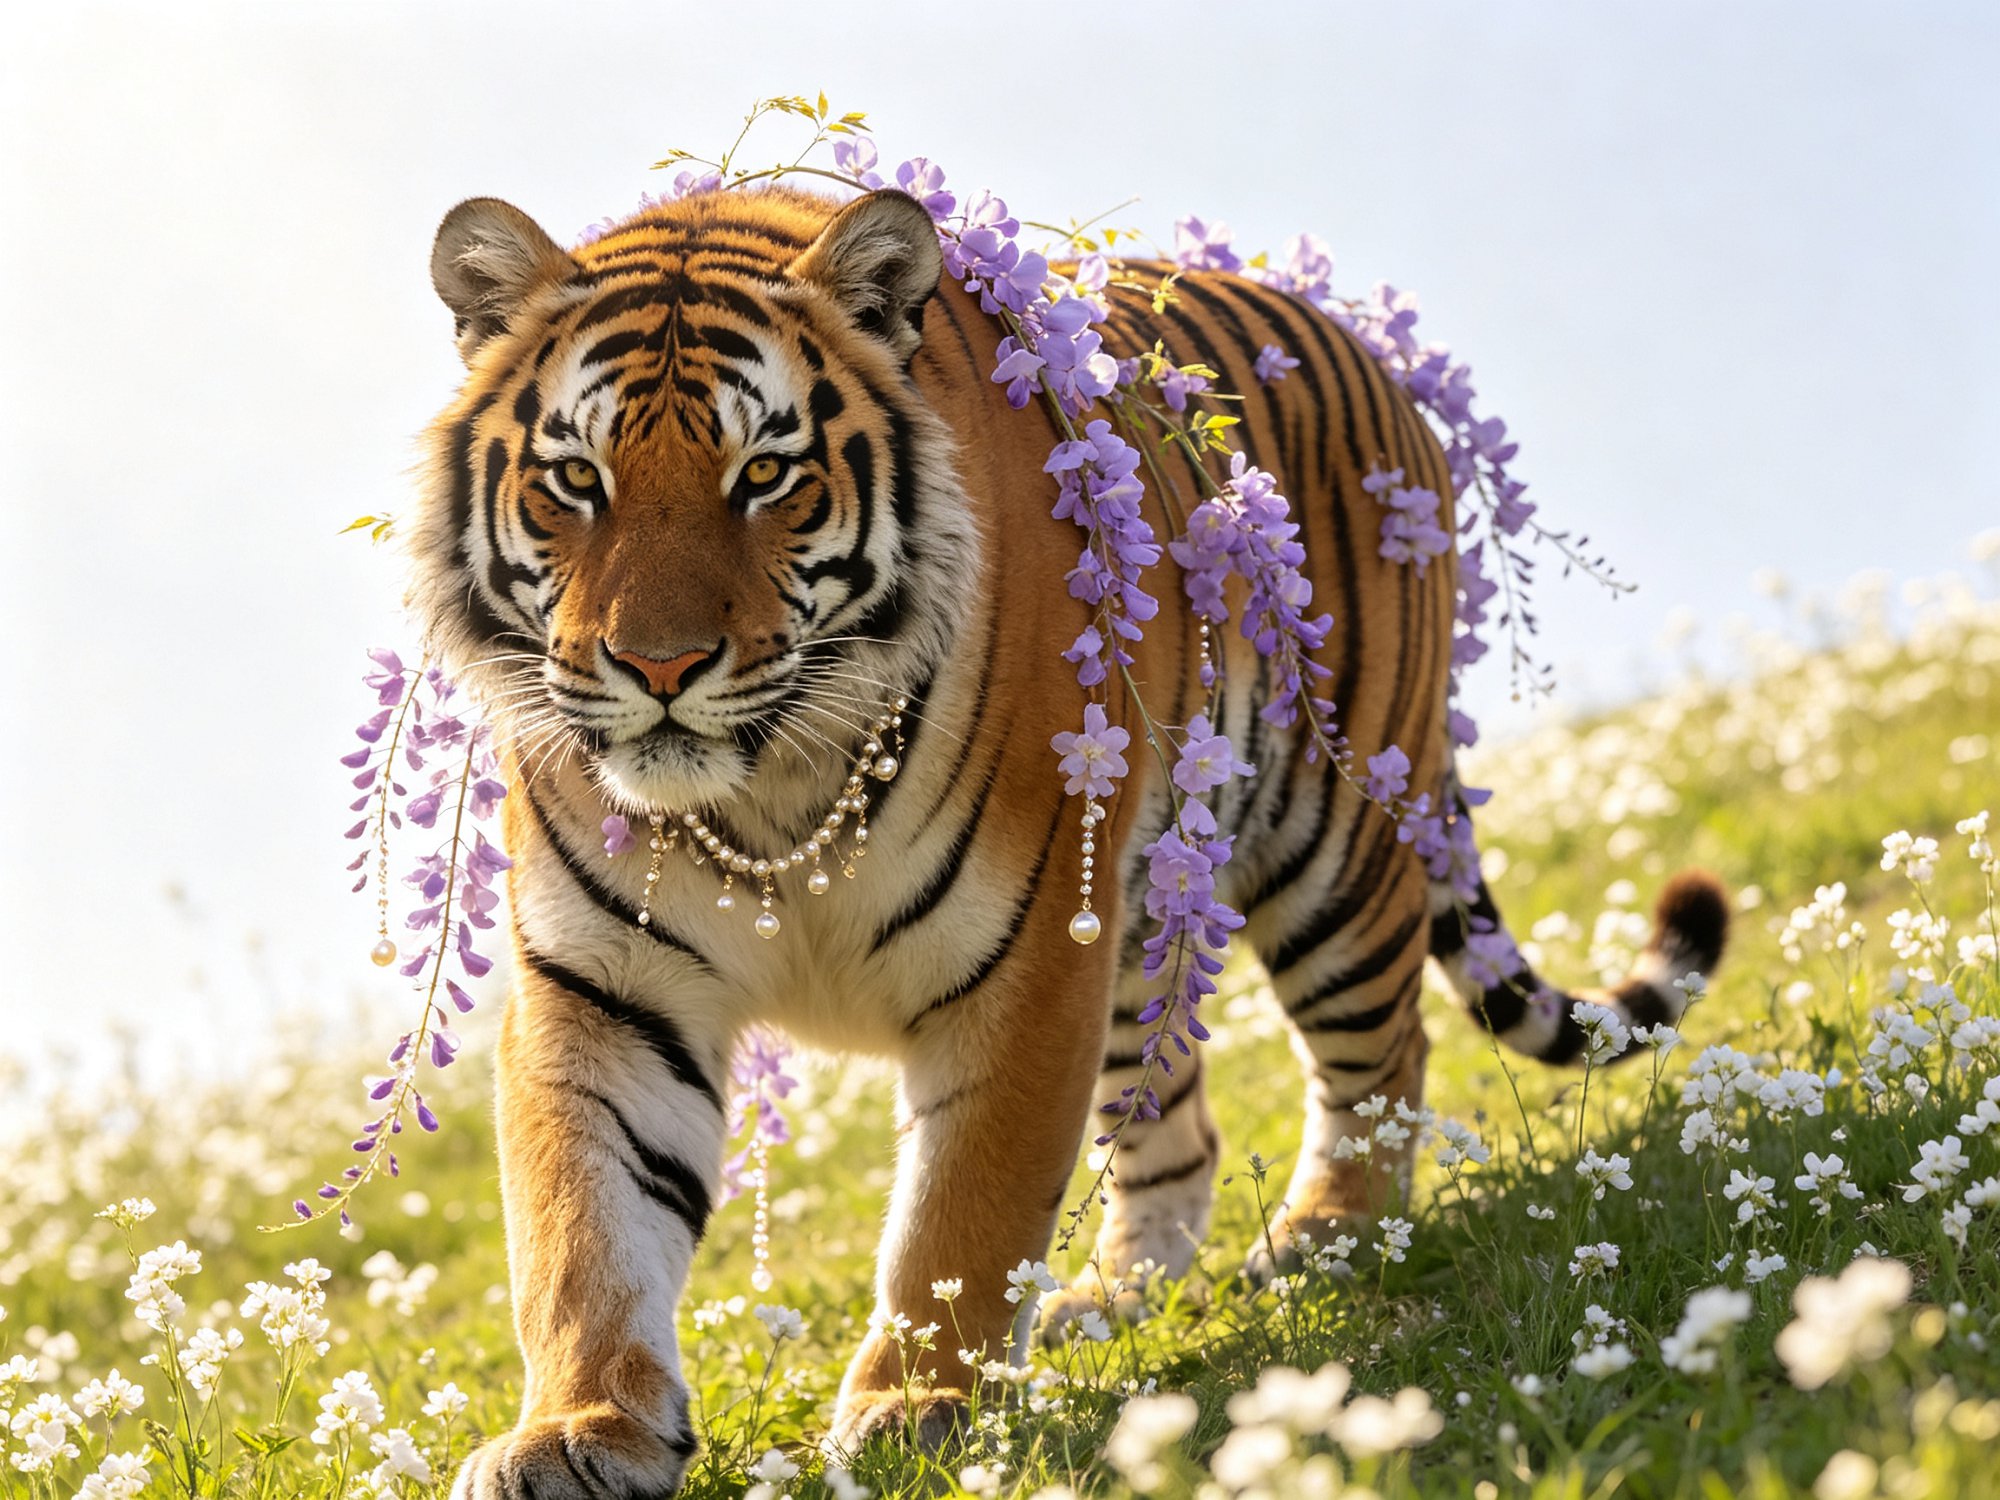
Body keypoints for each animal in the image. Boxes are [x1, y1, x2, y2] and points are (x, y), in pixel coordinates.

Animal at [409, 182, 1728, 1496]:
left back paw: (1329, 1233)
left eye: (767, 474)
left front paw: (914, 1410)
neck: (768, 794)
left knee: (1381, 1050)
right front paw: (580, 1430)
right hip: (1142, 915)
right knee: (1176, 1125)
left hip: (1330, 847)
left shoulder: (1023, 954)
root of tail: (1364, 341)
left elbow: (962, 1216)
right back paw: (1109, 1298)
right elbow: (579, 1233)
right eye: (576, 478)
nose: (659, 667)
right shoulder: (603, 990)